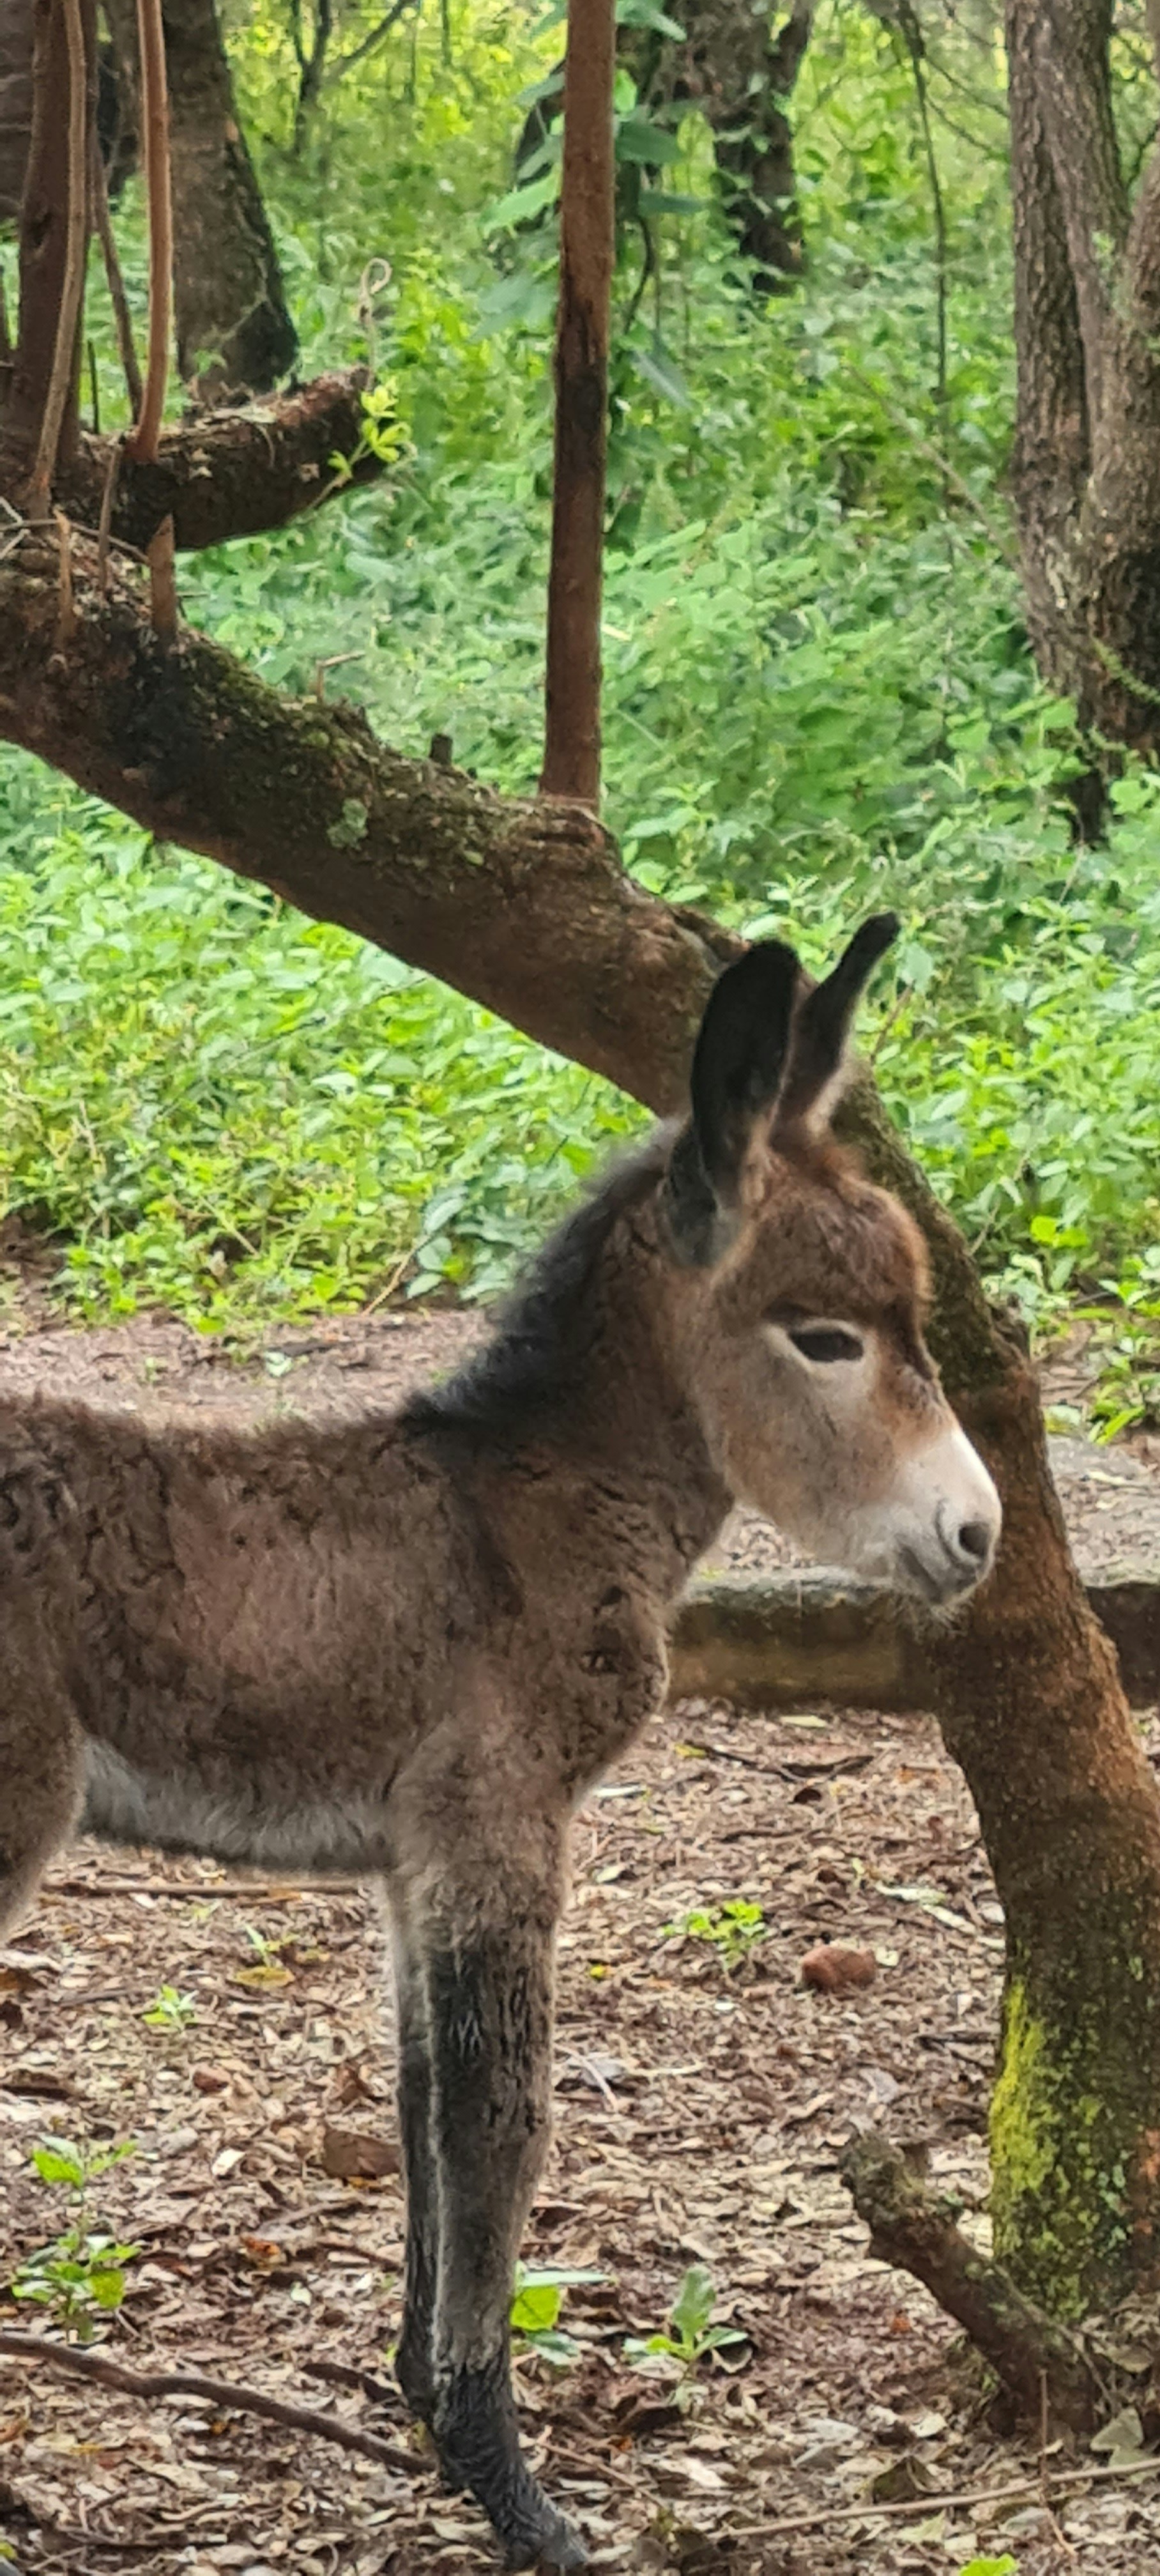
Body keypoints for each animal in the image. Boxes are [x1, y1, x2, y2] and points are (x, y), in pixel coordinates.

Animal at [0, 918, 1000, 2570]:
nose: (977, 1537)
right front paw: (508, 2486)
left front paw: (425, 2410)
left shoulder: (417, 1859)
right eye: (825, 1338)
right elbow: (500, 2123)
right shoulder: (501, 1818)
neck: (528, 1498)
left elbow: (422, 2111)